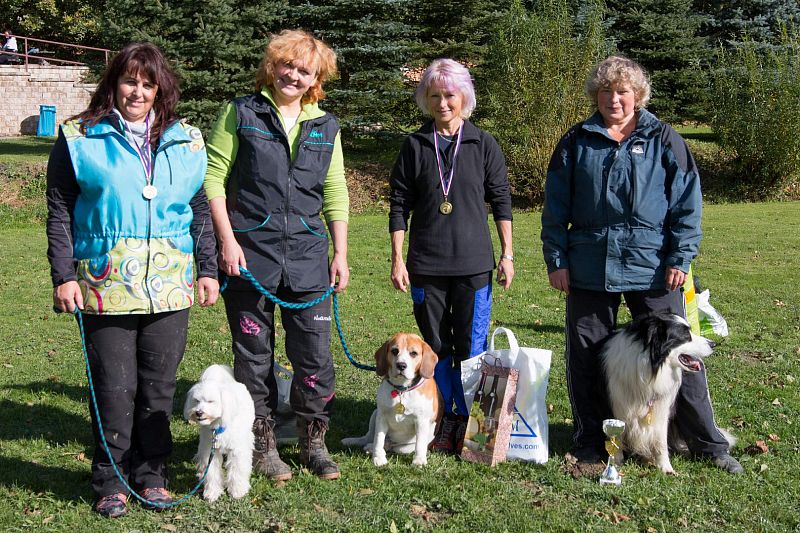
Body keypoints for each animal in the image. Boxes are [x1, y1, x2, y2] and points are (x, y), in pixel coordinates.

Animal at [184, 364, 253, 500]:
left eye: (211, 401)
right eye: (196, 400)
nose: (198, 412)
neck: (218, 428)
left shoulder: (237, 450)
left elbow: (237, 470)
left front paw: (237, 491)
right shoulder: (210, 451)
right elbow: (212, 472)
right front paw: (212, 493)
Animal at [340, 332, 444, 466]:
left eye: (413, 353)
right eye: (394, 351)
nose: (401, 365)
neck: (402, 390)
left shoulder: (421, 421)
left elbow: (420, 444)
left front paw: (419, 460)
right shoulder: (382, 416)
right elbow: (378, 439)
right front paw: (378, 458)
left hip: (405, 446)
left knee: (396, 447)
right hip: (375, 414)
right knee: (369, 437)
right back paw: (360, 443)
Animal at [604, 312, 736, 474]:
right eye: (686, 335)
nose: (713, 344)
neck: (651, 367)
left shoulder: (661, 408)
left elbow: (660, 440)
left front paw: (666, 468)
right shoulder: (617, 403)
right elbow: (617, 440)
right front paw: (615, 464)